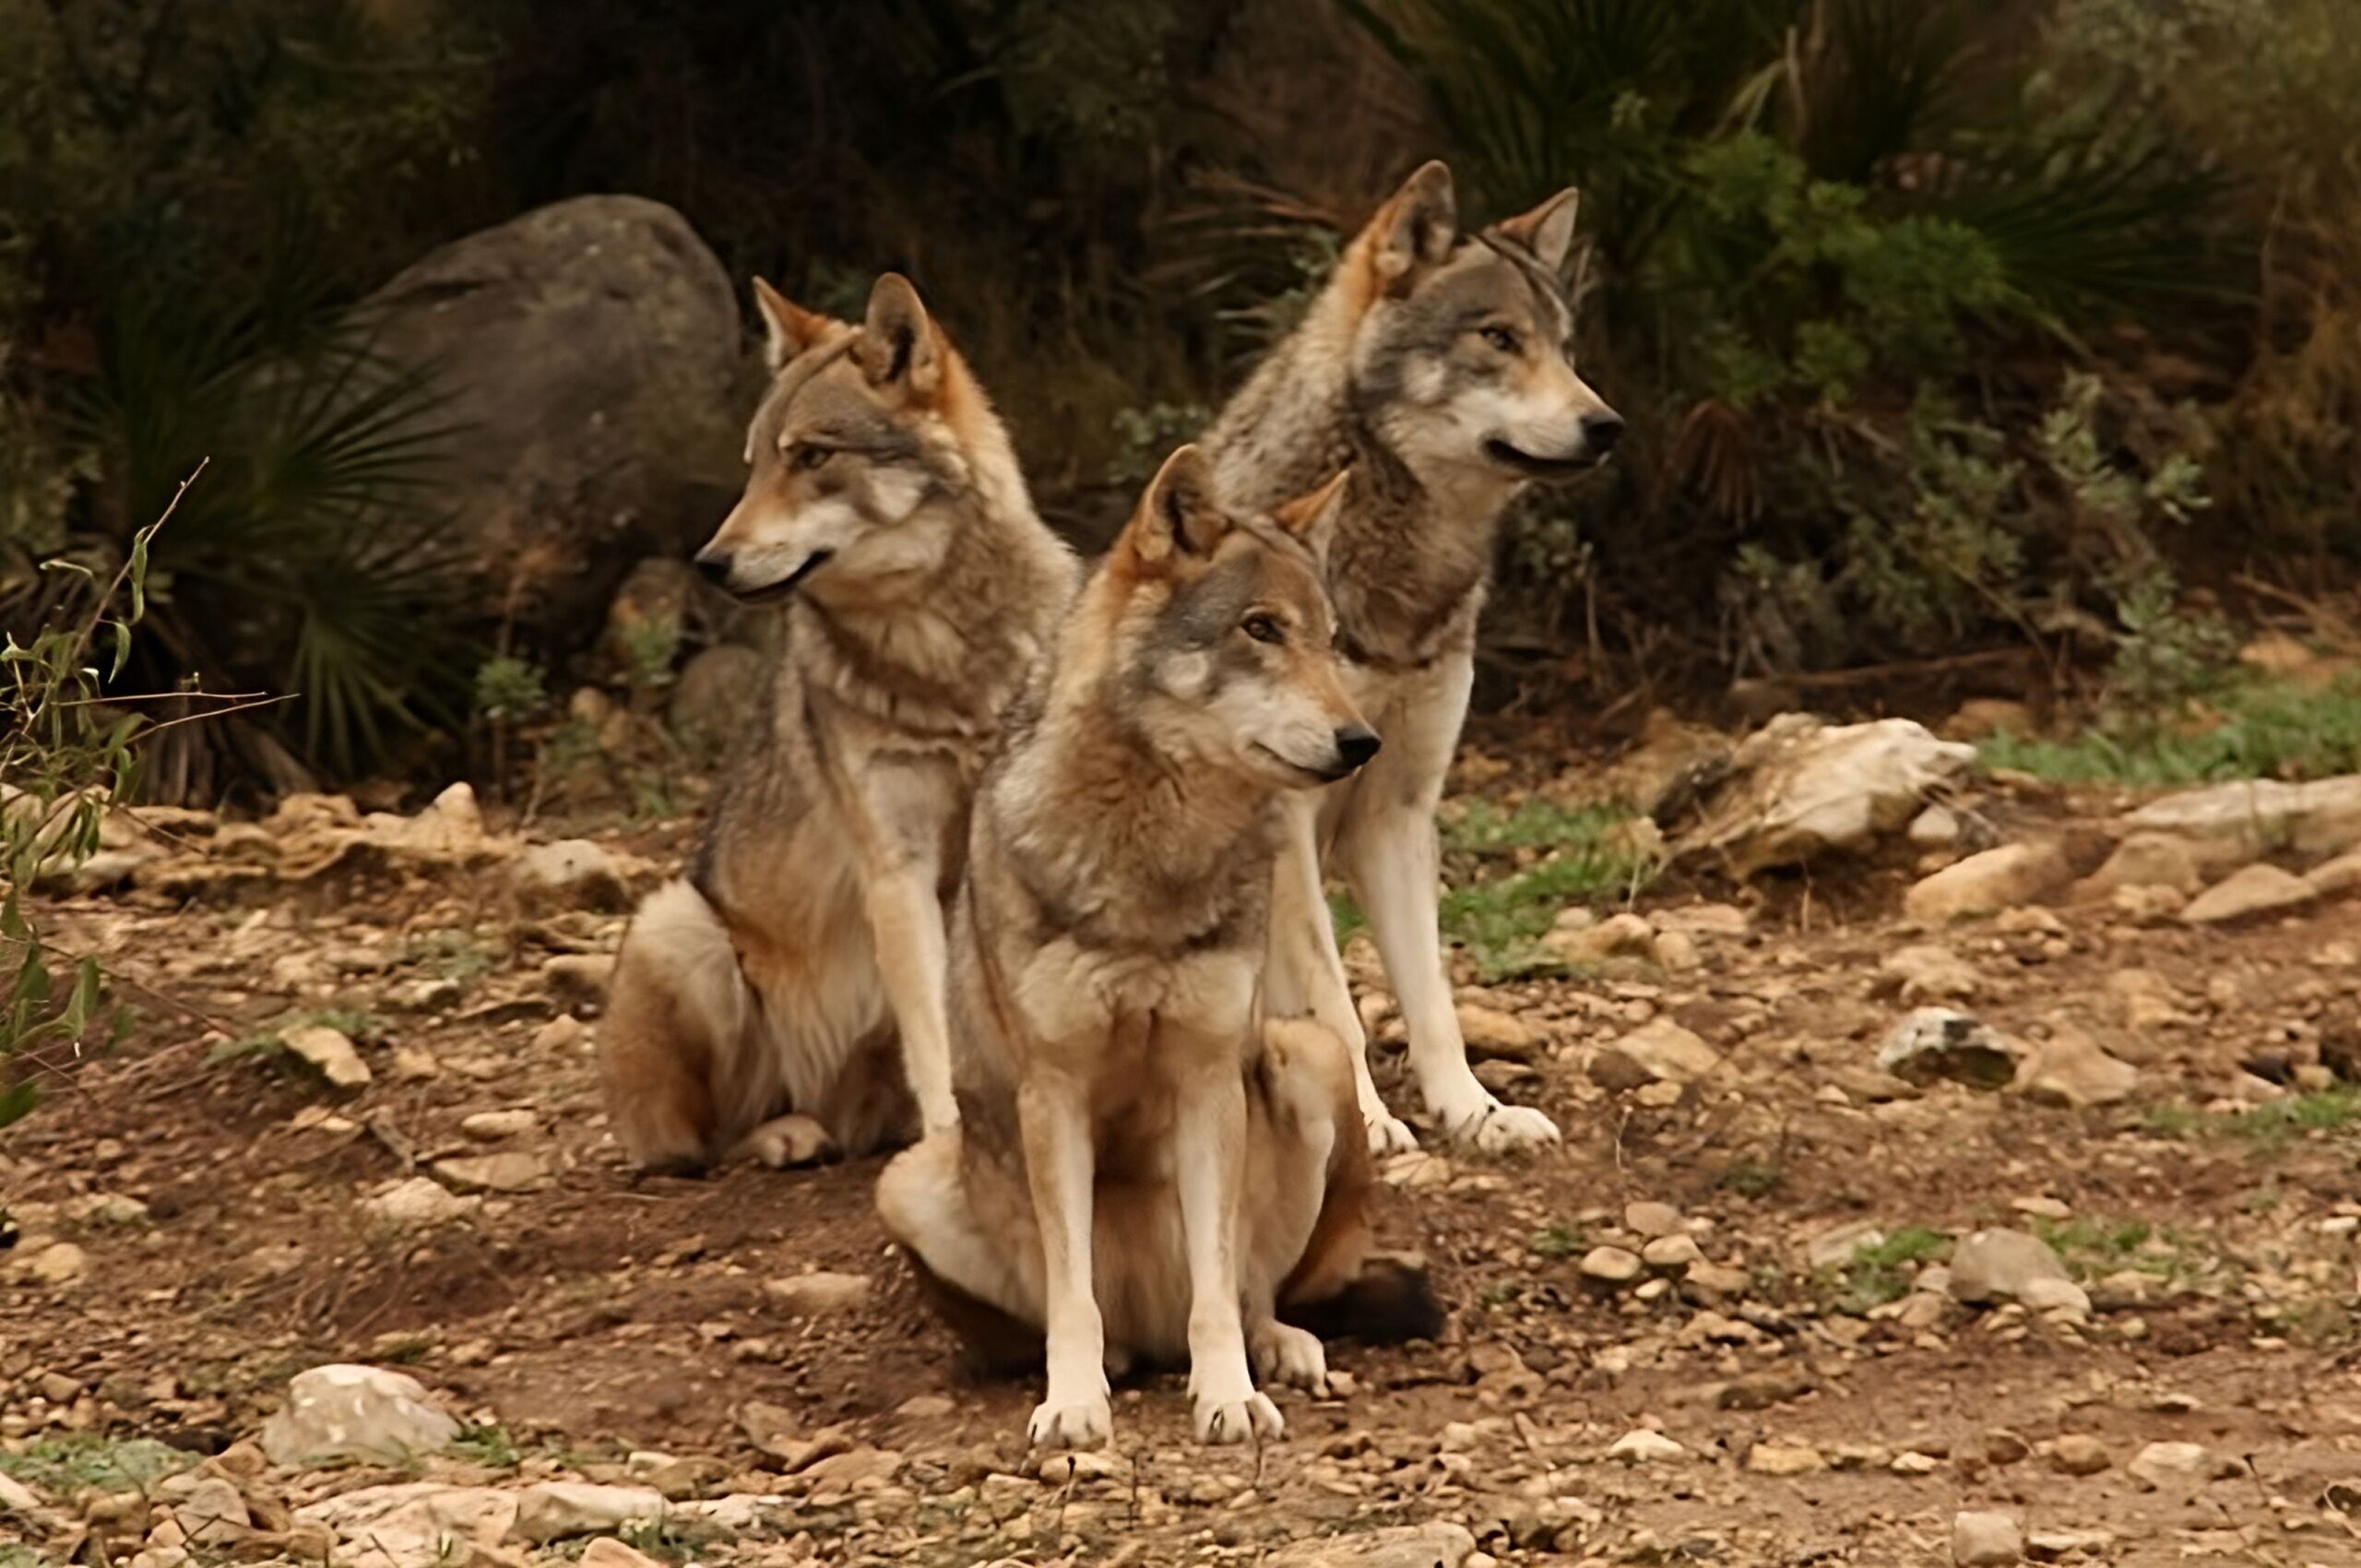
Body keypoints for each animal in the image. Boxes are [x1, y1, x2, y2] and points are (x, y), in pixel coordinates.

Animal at [599, 272, 1080, 1173]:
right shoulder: (895, 869)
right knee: (704, 1145)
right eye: (754, 464)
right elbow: (934, 1032)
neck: (942, 657)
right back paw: (787, 1134)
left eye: (811, 456)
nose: (709, 564)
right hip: (678, 926)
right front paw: (951, 1139)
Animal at [875, 445, 1441, 1451]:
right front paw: (1072, 1402)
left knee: (1254, 1292)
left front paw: (1229, 1396)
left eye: (1330, 639)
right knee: (1096, 1323)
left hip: (1308, 1057)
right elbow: (1073, 1297)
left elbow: (1218, 1289)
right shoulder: (1052, 1092)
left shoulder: (1208, 1077)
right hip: (909, 1177)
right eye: (1261, 629)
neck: (1149, 867)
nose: (1361, 741)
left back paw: (1281, 1349)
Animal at [1202, 160, 1622, 1156]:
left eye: (1564, 346)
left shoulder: (1397, 812)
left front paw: (1476, 1111)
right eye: (1499, 339)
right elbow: (1335, 1001)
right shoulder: (1287, 824)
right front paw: (1369, 1121)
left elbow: (1432, 998)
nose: (1606, 424)